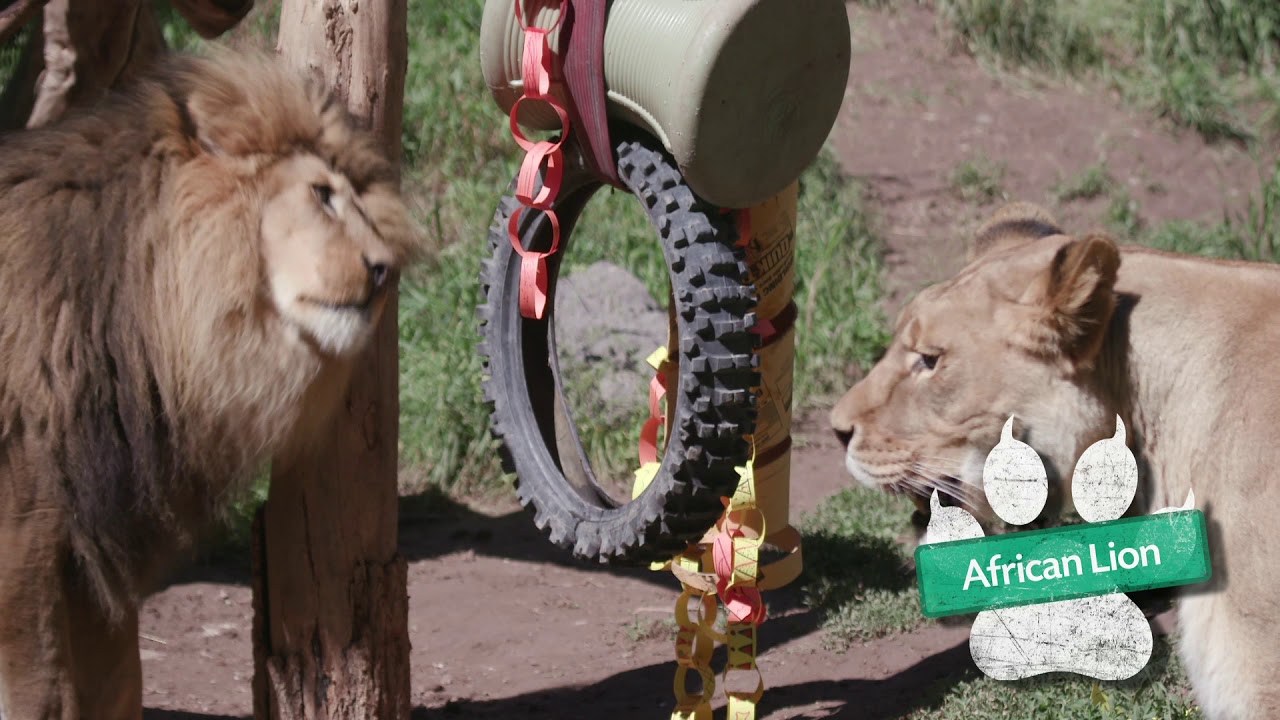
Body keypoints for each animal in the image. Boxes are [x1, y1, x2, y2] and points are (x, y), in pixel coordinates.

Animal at [0, 51, 421, 718]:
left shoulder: (90, 556)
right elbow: (40, 695)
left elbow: (119, 683)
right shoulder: (24, 539)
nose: (385, 271)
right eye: (321, 195)